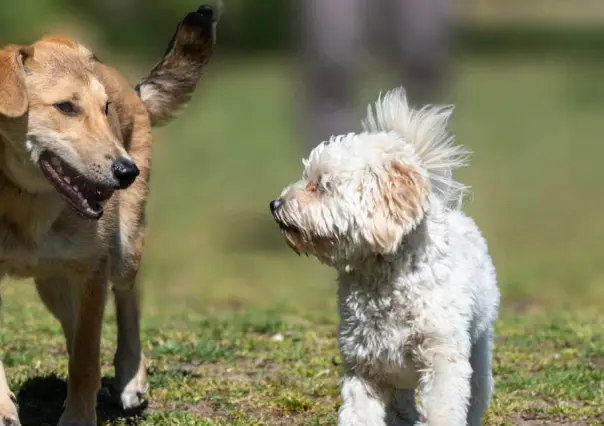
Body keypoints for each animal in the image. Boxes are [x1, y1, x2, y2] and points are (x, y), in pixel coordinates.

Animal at [0, 4, 218, 426]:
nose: (126, 171)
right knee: (76, 324)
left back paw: (130, 377)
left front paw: (79, 417)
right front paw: (3, 410)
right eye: (66, 107)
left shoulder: (92, 269)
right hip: (53, 281)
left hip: (124, 249)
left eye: (105, 109)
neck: (25, 199)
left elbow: (86, 355)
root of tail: (129, 86)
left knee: (127, 299)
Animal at [270, 87, 500, 426]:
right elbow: (359, 415)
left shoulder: (442, 359)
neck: (384, 277)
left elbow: (442, 410)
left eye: (321, 185)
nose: (275, 204)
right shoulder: (365, 366)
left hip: (478, 348)